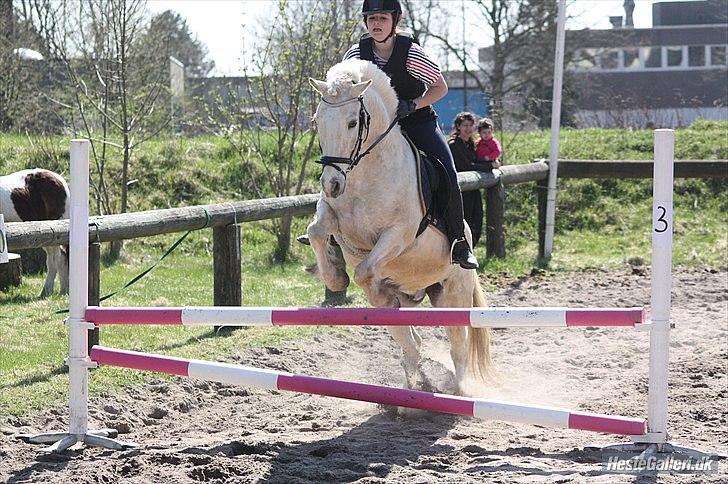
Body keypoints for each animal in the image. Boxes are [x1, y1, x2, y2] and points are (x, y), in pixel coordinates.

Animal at [0, 170, 69, 298]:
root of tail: (60, 180)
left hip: (55, 233)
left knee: (56, 259)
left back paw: (48, 291)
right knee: (59, 258)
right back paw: (62, 290)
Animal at [306, 59, 490, 394]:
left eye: (352, 123)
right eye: (317, 121)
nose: (331, 184)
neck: (365, 171)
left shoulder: (399, 234)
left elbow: (364, 271)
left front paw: (367, 288)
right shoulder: (331, 215)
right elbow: (316, 232)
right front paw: (336, 278)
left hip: (452, 295)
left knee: (458, 347)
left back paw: (456, 391)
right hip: (419, 291)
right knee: (409, 336)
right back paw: (416, 371)